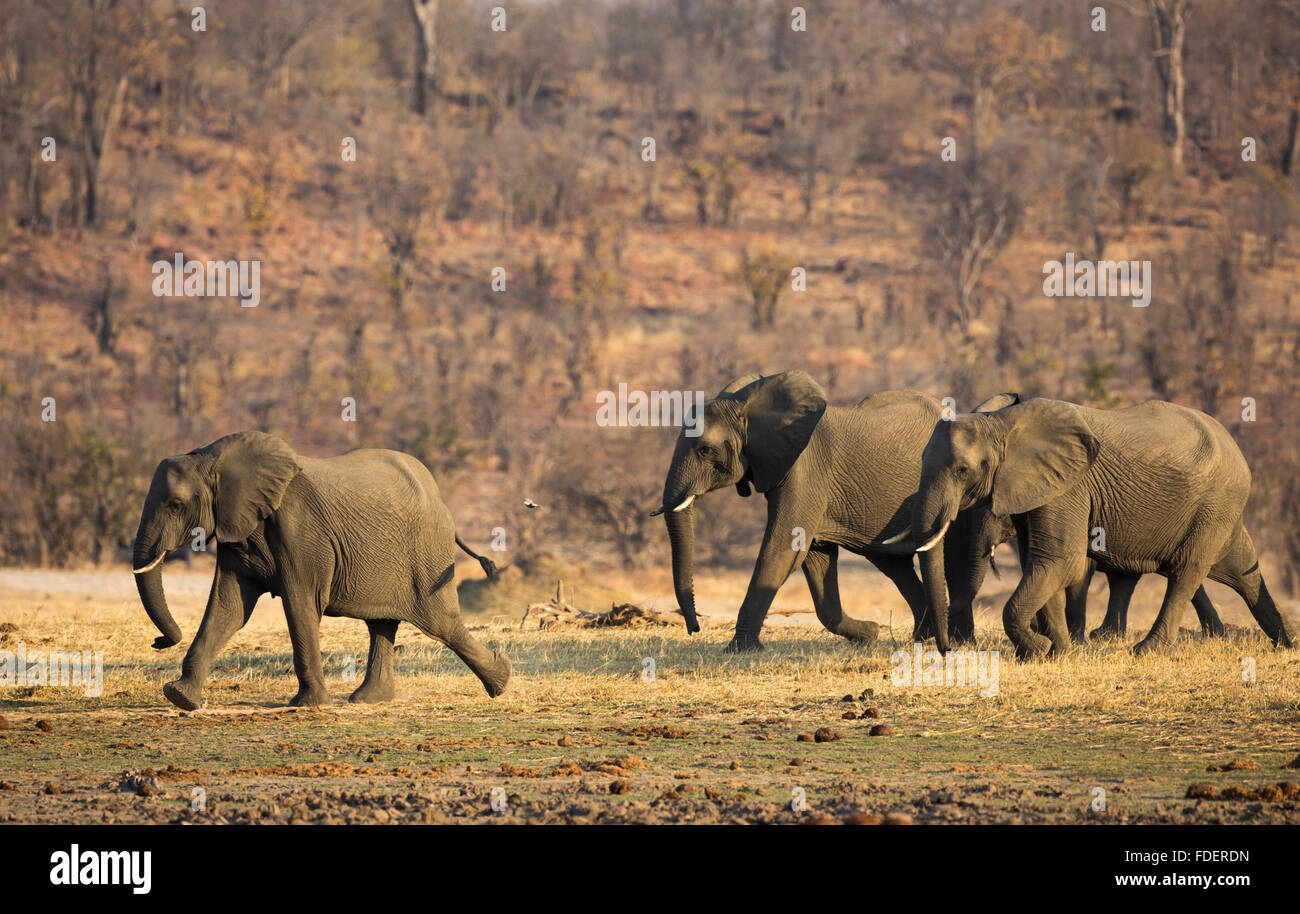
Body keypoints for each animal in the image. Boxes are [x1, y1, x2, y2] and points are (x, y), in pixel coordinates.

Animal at [129, 431, 509, 712]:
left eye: (175, 505)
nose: (159, 641)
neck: (212, 457)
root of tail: (441, 500)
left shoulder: (301, 531)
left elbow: (300, 603)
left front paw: (307, 705)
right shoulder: (237, 530)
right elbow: (229, 608)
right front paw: (180, 696)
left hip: (427, 552)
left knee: (442, 623)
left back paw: (501, 679)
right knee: (382, 623)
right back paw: (368, 699)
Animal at [655, 369, 1008, 650]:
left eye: (705, 450)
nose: (694, 627)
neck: (748, 405)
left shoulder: (805, 469)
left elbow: (781, 549)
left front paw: (740, 650)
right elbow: (814, 555)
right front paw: (870, 634)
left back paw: (953, 640)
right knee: (894, 565)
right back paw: (924, 637)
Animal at [909, 395, 1294, 657]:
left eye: (962, 470)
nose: (945, 649)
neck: (1001, 423)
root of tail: (1235, 446)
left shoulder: (1069, 487)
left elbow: (1060, 561)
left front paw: (1039, 649)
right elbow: (1041, 561)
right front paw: (1057, 653)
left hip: (1215, 502)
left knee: (1187, 569)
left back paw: (1147, 650)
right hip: (1219, 507)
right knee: (1241, 569)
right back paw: (1286, 643)